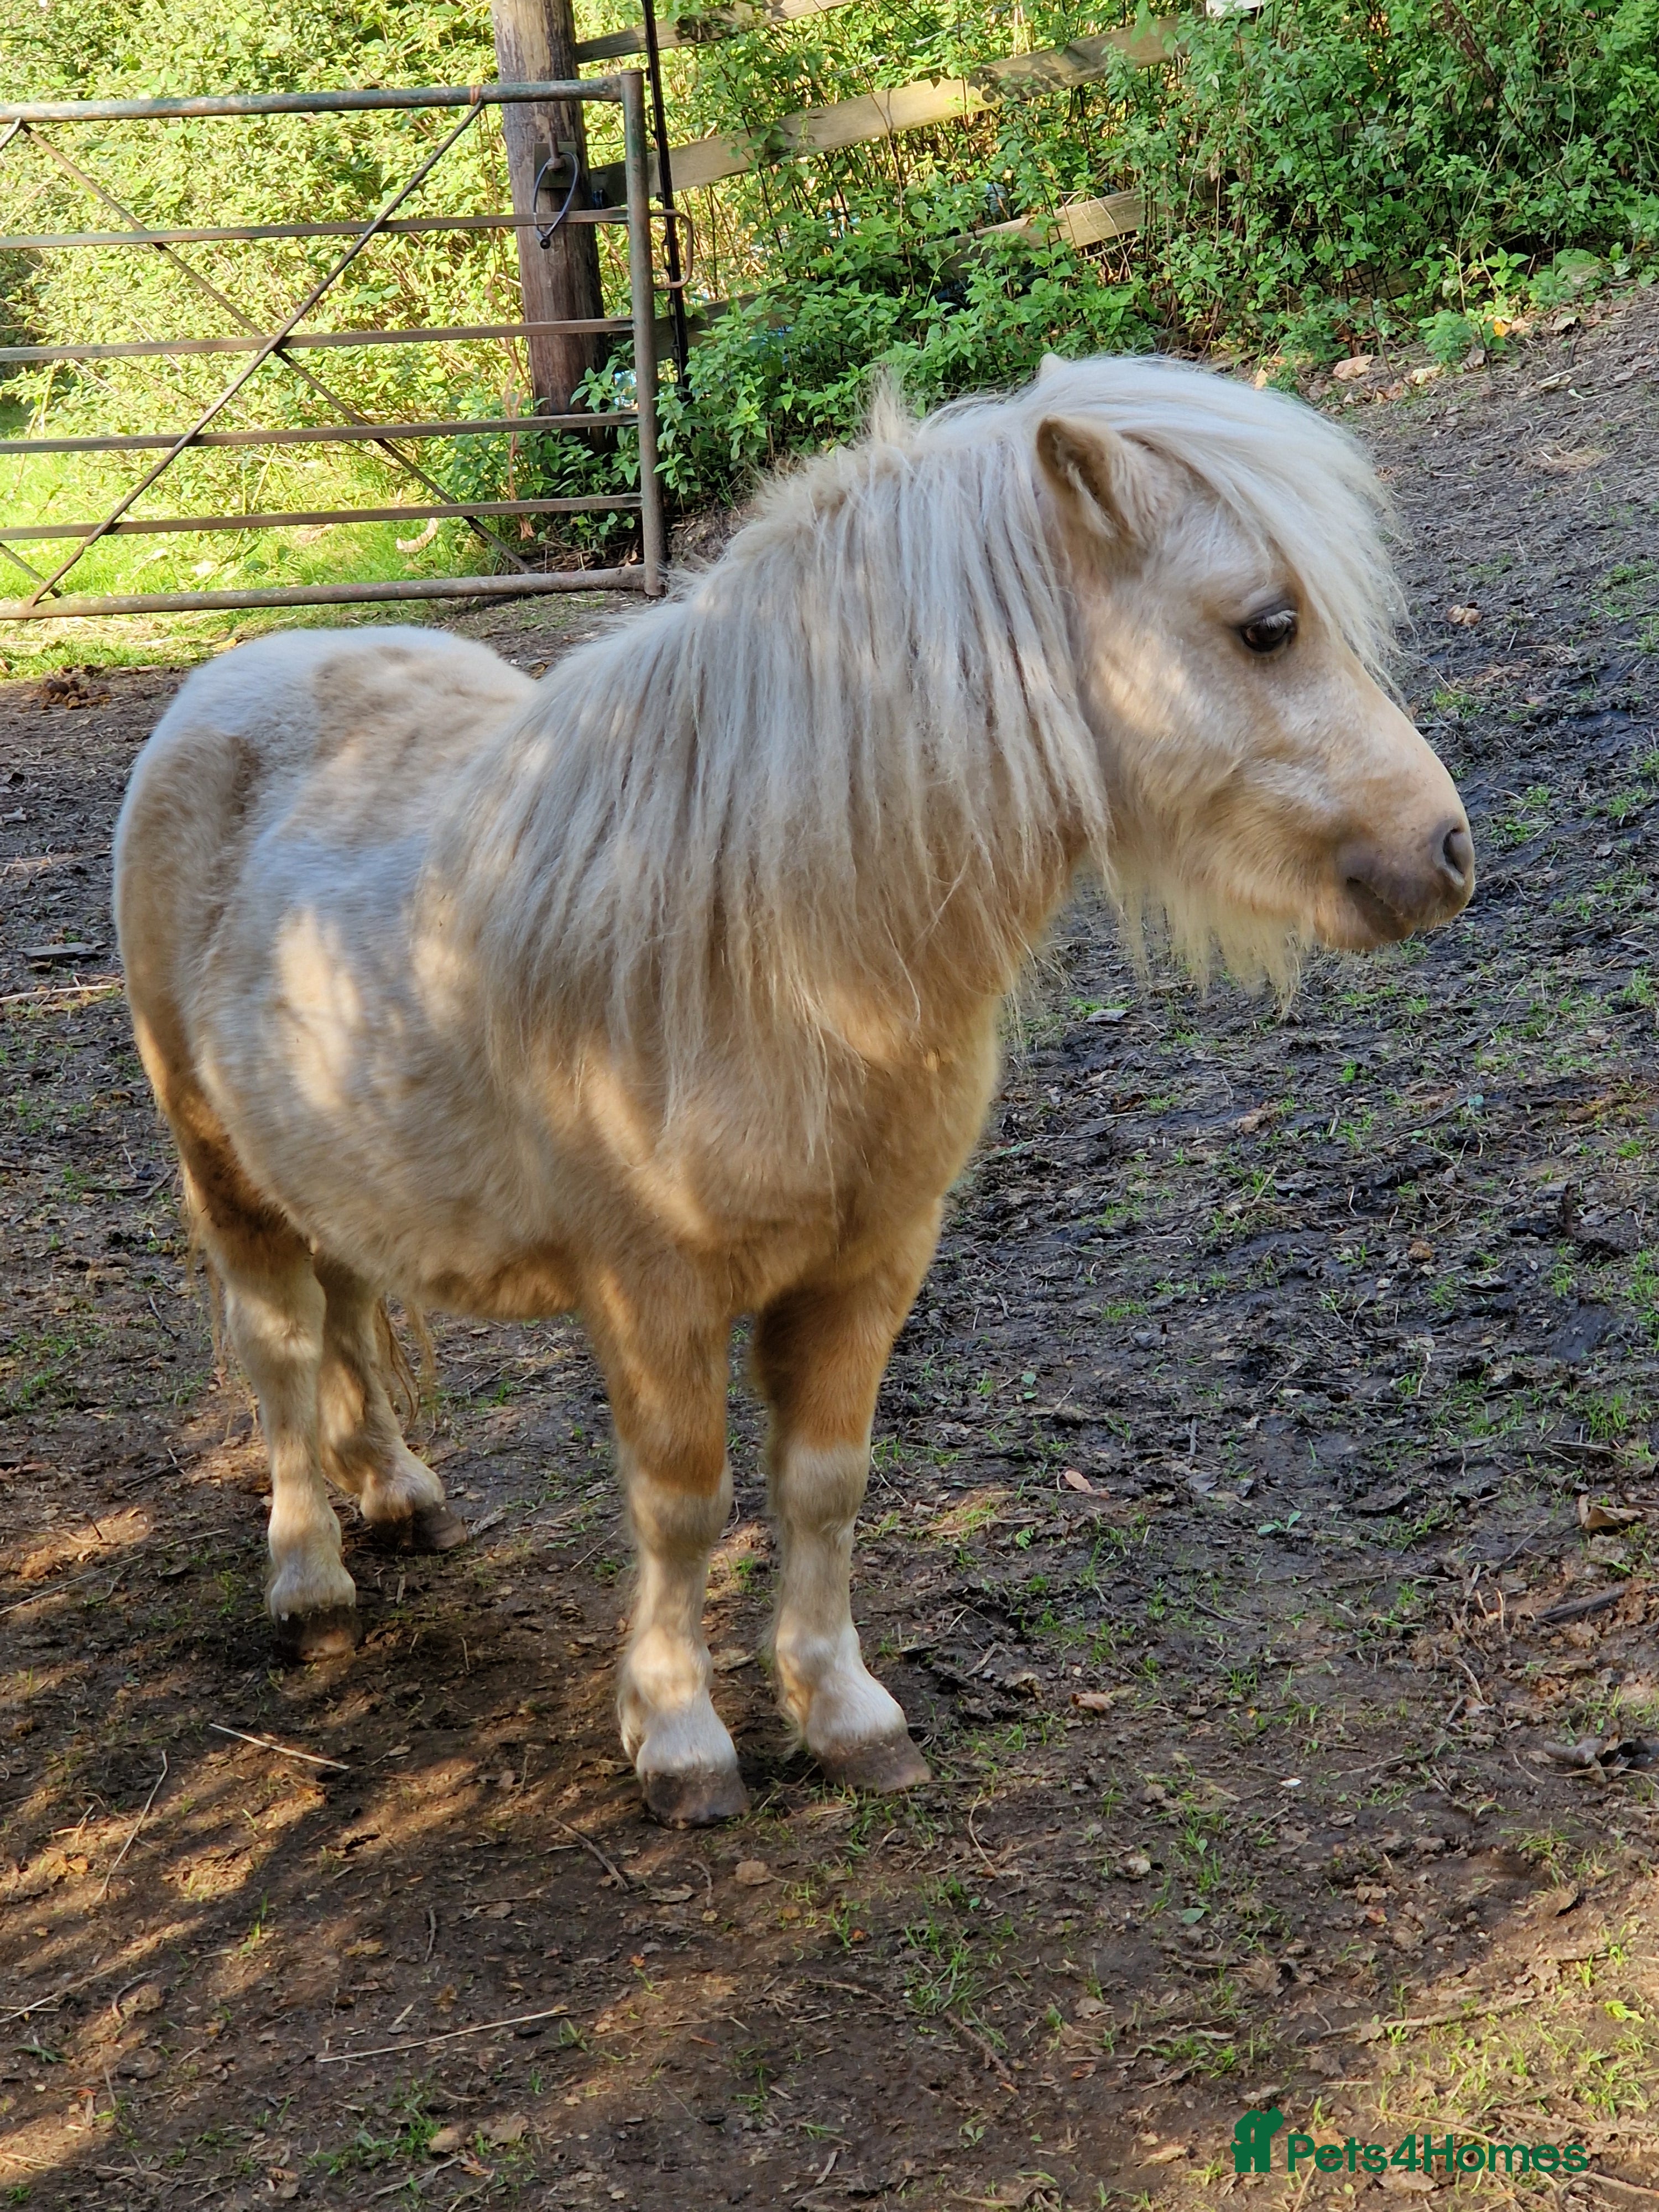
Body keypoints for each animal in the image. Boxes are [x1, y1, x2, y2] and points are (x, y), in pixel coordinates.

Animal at [113, 353, 1474, 1826]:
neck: (771, 946)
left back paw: (397, 1492)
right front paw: (678, 1736)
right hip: (224, 1168)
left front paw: (842, 1711)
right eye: (1266, 627)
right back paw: (310, 1580)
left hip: (334, 1154)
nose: (1445, 850)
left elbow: (823, 1484)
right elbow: (684, 1503)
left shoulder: (871, 1261)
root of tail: (236, 676)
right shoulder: (651, 1294)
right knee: (282, 1347)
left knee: (351, 1305)